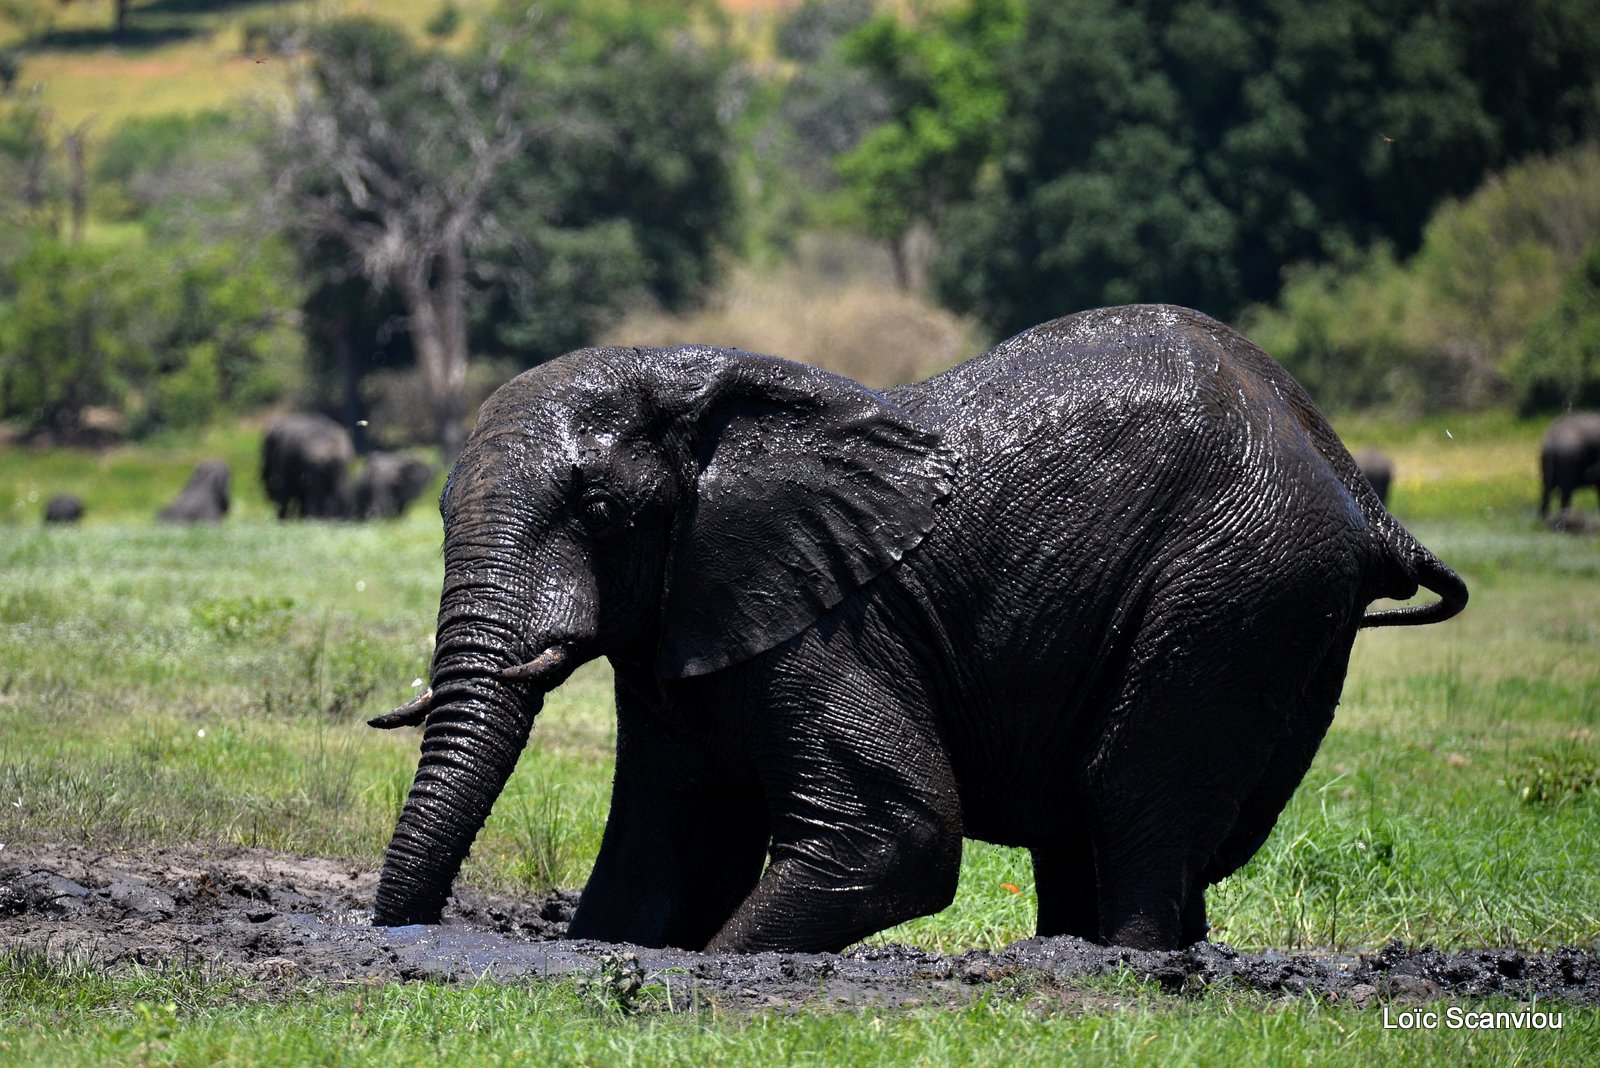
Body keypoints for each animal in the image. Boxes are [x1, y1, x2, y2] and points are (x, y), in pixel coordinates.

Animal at [368, 303, 1465, 952]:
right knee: (1097, 826)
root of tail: (1357, 492)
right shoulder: (695, 625)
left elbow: (894, 837)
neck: (699, 384)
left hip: (1235, 587)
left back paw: (1123, 970)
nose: (406, 947)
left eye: (601, 512)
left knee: (1132, 794)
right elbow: (661, 857)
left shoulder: (833, 624)